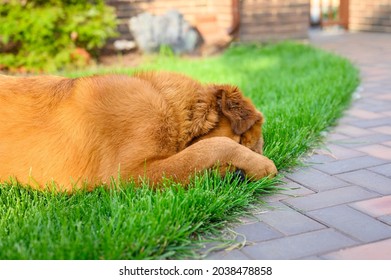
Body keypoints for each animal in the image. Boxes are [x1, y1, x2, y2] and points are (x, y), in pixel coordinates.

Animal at [0, 71, 278, 191]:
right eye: (242, 139)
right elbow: (212, 146)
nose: (238, 176)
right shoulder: (129, 173)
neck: (169, 105)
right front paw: (263, 166)